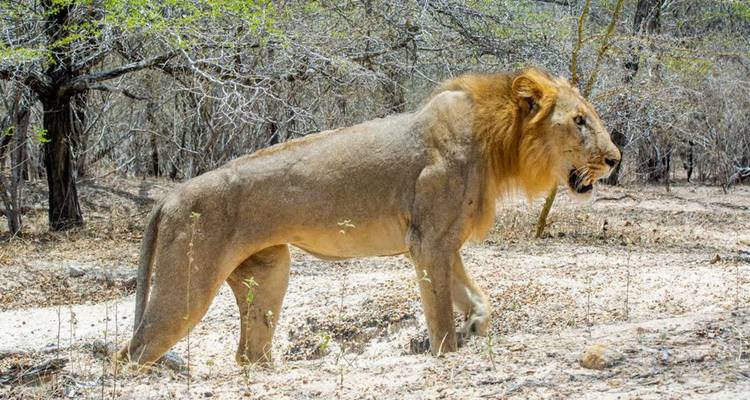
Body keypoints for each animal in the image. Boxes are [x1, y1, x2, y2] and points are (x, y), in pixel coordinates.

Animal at [117, 67, 620, 367]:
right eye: (579, 120)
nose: (615, 160)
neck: (497, 143)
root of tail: (169, 197)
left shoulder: (444, 243)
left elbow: (478, 299)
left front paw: (475, 326)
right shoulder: (428, 242)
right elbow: (440, 315)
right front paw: (445, 351)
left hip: (270, 271)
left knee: (249, 354)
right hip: (187, 288)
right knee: (132, 353)